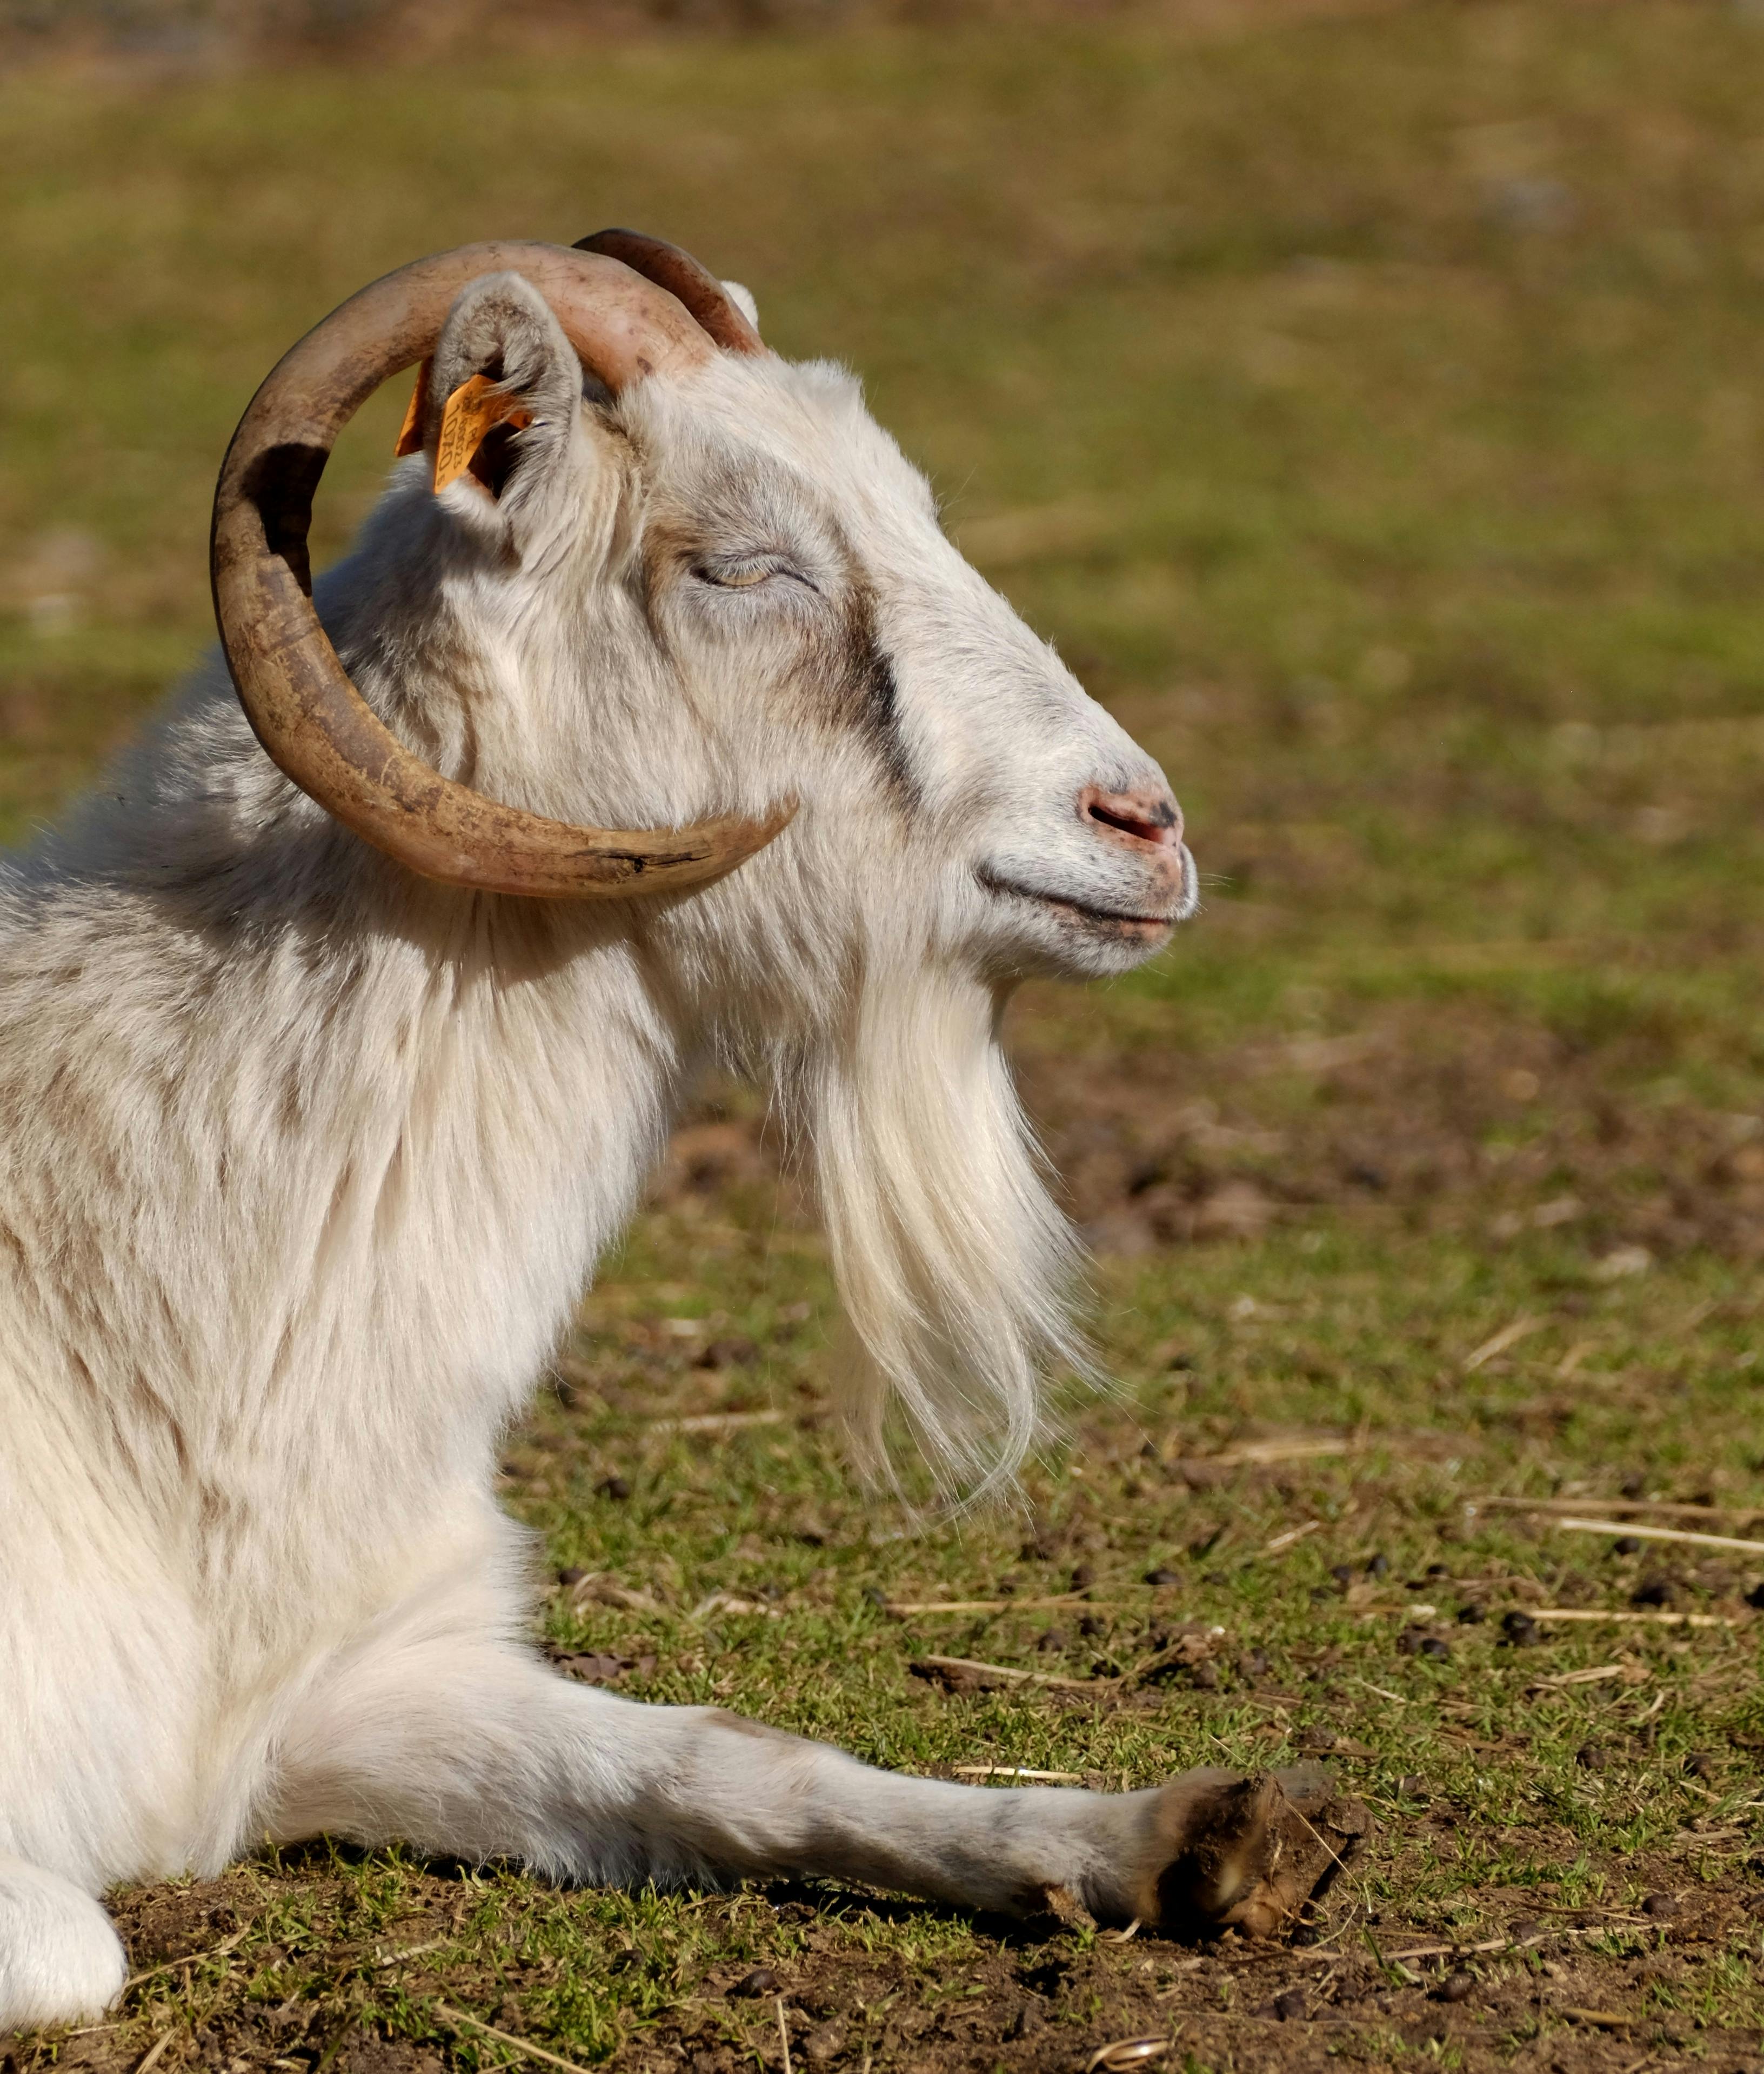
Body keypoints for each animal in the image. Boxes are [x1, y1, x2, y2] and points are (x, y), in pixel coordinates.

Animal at [0, 233, 1351, 2032]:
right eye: (739, 563)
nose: (1141, 827)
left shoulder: (370, 1689)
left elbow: (736, 1762)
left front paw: (1185, 1839)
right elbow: (76, 1945)